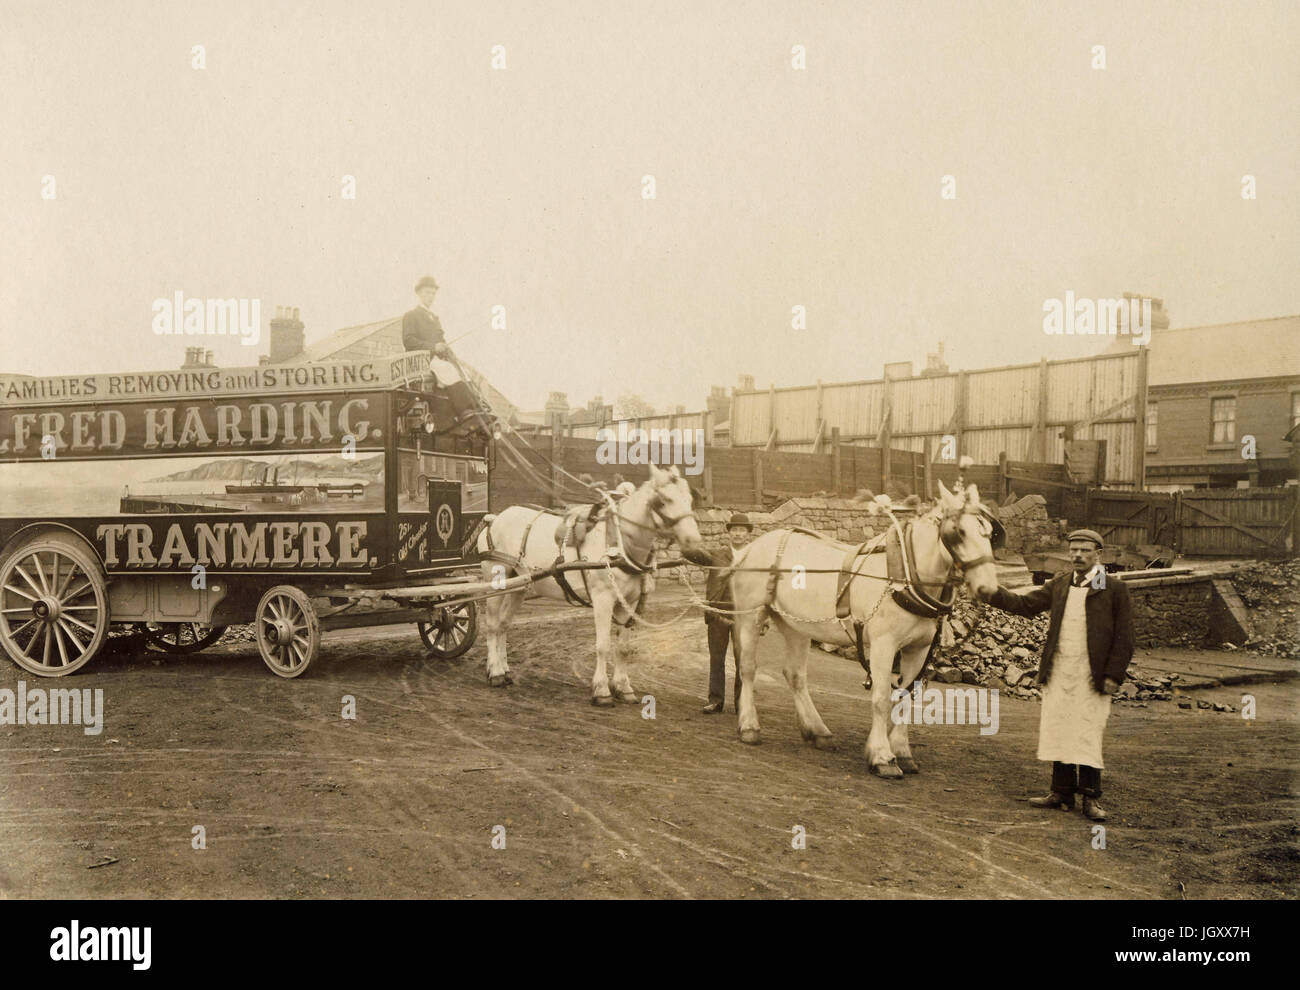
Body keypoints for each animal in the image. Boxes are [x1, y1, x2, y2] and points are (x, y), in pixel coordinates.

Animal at [478, 462, 702, 701]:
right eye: (664, 500)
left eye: (690, 498)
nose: (694, 541)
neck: (619, 542)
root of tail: (496, 518)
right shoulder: (603, 598)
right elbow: (603, 645)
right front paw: (601, 690)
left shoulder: (630, 602)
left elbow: (623, 647)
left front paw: (623, 686)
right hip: (495, 579)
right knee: (492, 625)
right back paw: (495, 672)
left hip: (518, 586)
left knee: (503, 624)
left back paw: (504, 669)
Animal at [733, 483, 993, 774]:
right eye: (959, 532)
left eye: (991, 533)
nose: (988, 587)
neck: (904, 575)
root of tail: (749, 548)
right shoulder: (883, 645)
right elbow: (881, 698)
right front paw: (882, 756)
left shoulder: (918, 649)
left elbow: (906, 697)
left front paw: (902, 751)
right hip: (751, 616)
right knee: (748, 667)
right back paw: (749, 726)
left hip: (795, 626)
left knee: (795, 675)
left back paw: (817, 730)